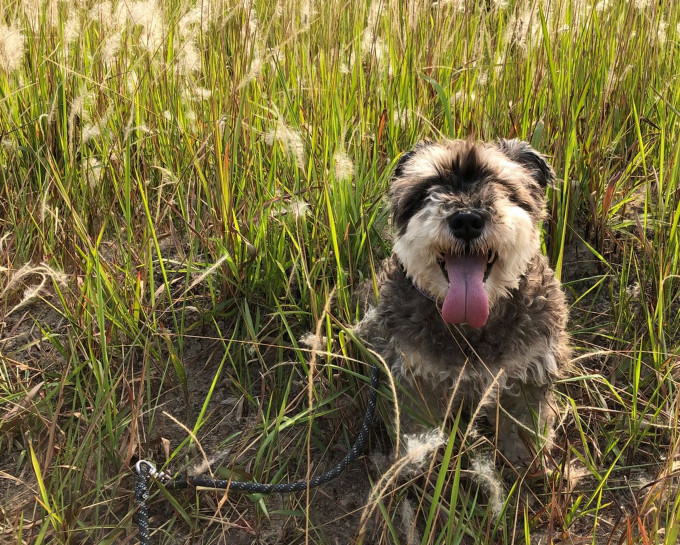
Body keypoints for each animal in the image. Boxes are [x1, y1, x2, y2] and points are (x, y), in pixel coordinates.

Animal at [358, 137, 572, 464]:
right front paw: (418, 459)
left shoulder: (530, 366)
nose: (467, 220)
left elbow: (524, 418)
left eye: (502, 184)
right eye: (429, 185)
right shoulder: (411, 374)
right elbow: (417, 425)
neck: (471, 329)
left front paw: (525, 455)